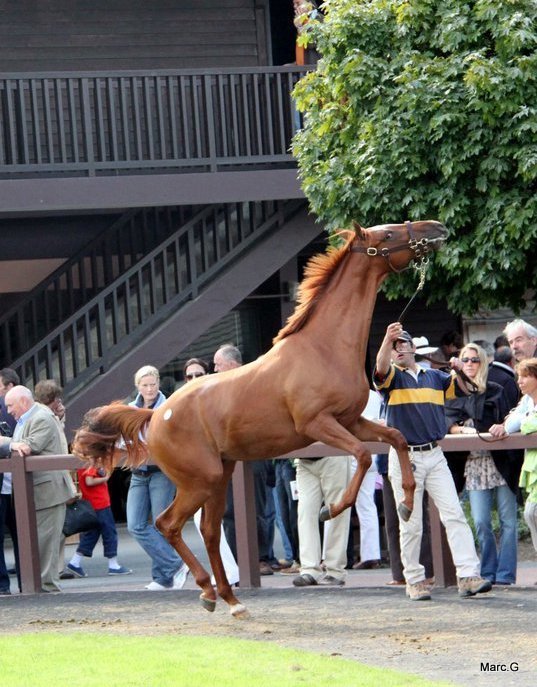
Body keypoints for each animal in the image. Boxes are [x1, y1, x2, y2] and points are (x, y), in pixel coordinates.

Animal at [73, 219, 446, 620]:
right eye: (388, 235)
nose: (436, 228)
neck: (324, 348)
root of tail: (156, 413)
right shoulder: (317, 424)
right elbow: (362, 456)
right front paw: (329, 510)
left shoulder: (351, 420)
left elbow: (397, 437)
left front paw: (406, 502)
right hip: (200, 480)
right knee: (168, 524)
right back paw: (208, 590)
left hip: (219, 477)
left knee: (207, 531)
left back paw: (230, 599)